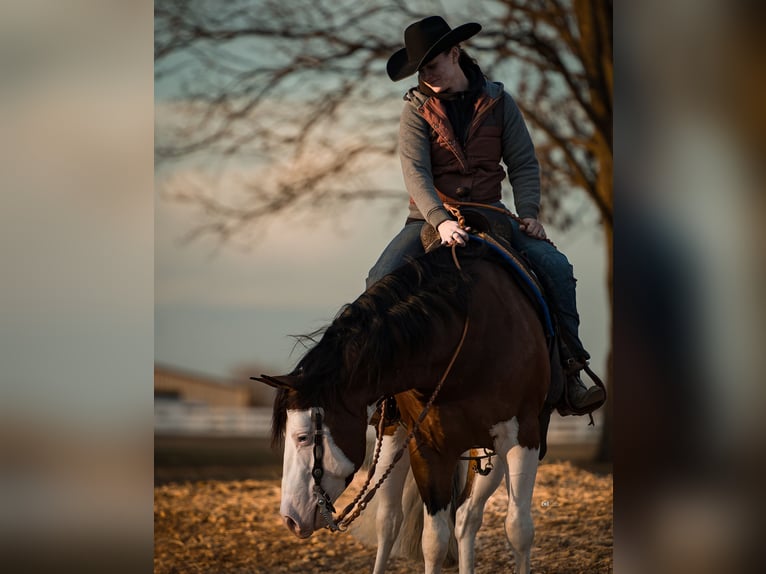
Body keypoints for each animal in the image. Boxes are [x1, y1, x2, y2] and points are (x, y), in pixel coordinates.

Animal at [258, 242, 552, 574]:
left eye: (303, 437)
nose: (290, 519)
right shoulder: (428, 449)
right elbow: (434, 542)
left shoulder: (522, 439)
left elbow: (518, 529)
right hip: (392, 437)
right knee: (390, 522)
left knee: (468, 517)